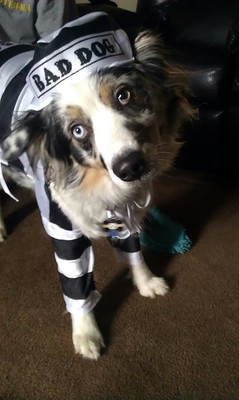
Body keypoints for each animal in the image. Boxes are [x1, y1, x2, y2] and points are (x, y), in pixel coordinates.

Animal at [0, 11, 194, 360]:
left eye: (124, 95)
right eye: (77, 130)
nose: (130, 168)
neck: (97, 180)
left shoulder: (125, 209)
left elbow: (134, 250)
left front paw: (146, 282)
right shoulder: (63, 227)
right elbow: (76, 285)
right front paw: (86, 333)